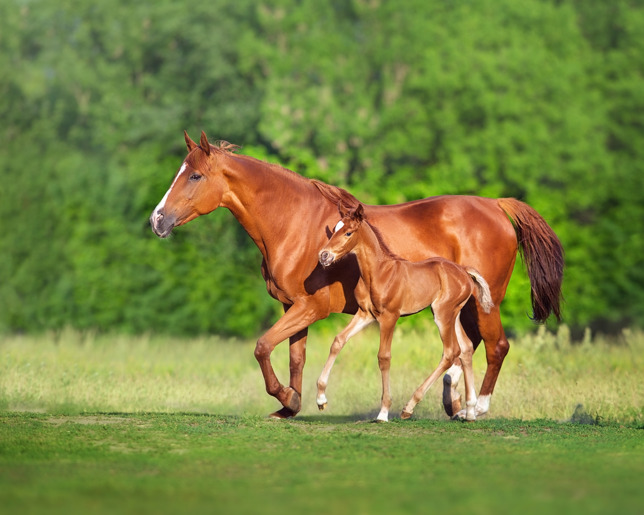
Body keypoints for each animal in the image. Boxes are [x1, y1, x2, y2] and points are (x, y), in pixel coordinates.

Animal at [317, 202, 494, 421]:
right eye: (334, 230)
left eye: (348, 232)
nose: (324, 256)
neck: (378, 273)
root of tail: (463, 270)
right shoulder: (365, 314)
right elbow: (338, 341)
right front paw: (321, 398)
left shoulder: (389, 317)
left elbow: (384, 357)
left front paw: (383, 412)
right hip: (454, 314)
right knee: (466, 348)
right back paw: (469, 412)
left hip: (442, 314)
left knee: (451, 351)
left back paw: (409, 407)